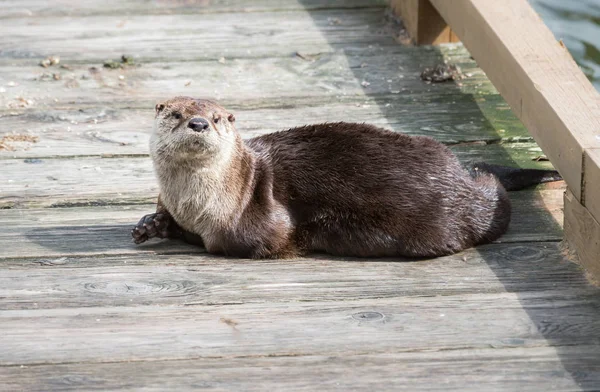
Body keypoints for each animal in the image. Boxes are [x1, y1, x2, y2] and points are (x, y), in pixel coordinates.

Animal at [132, 96, 564, 258]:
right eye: (176, 114)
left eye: (218, 117)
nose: (199, 123)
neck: (196, 205)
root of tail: (460, 174)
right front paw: (151, 225)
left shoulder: (258, 221)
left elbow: (253, 240)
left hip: (459, 217)